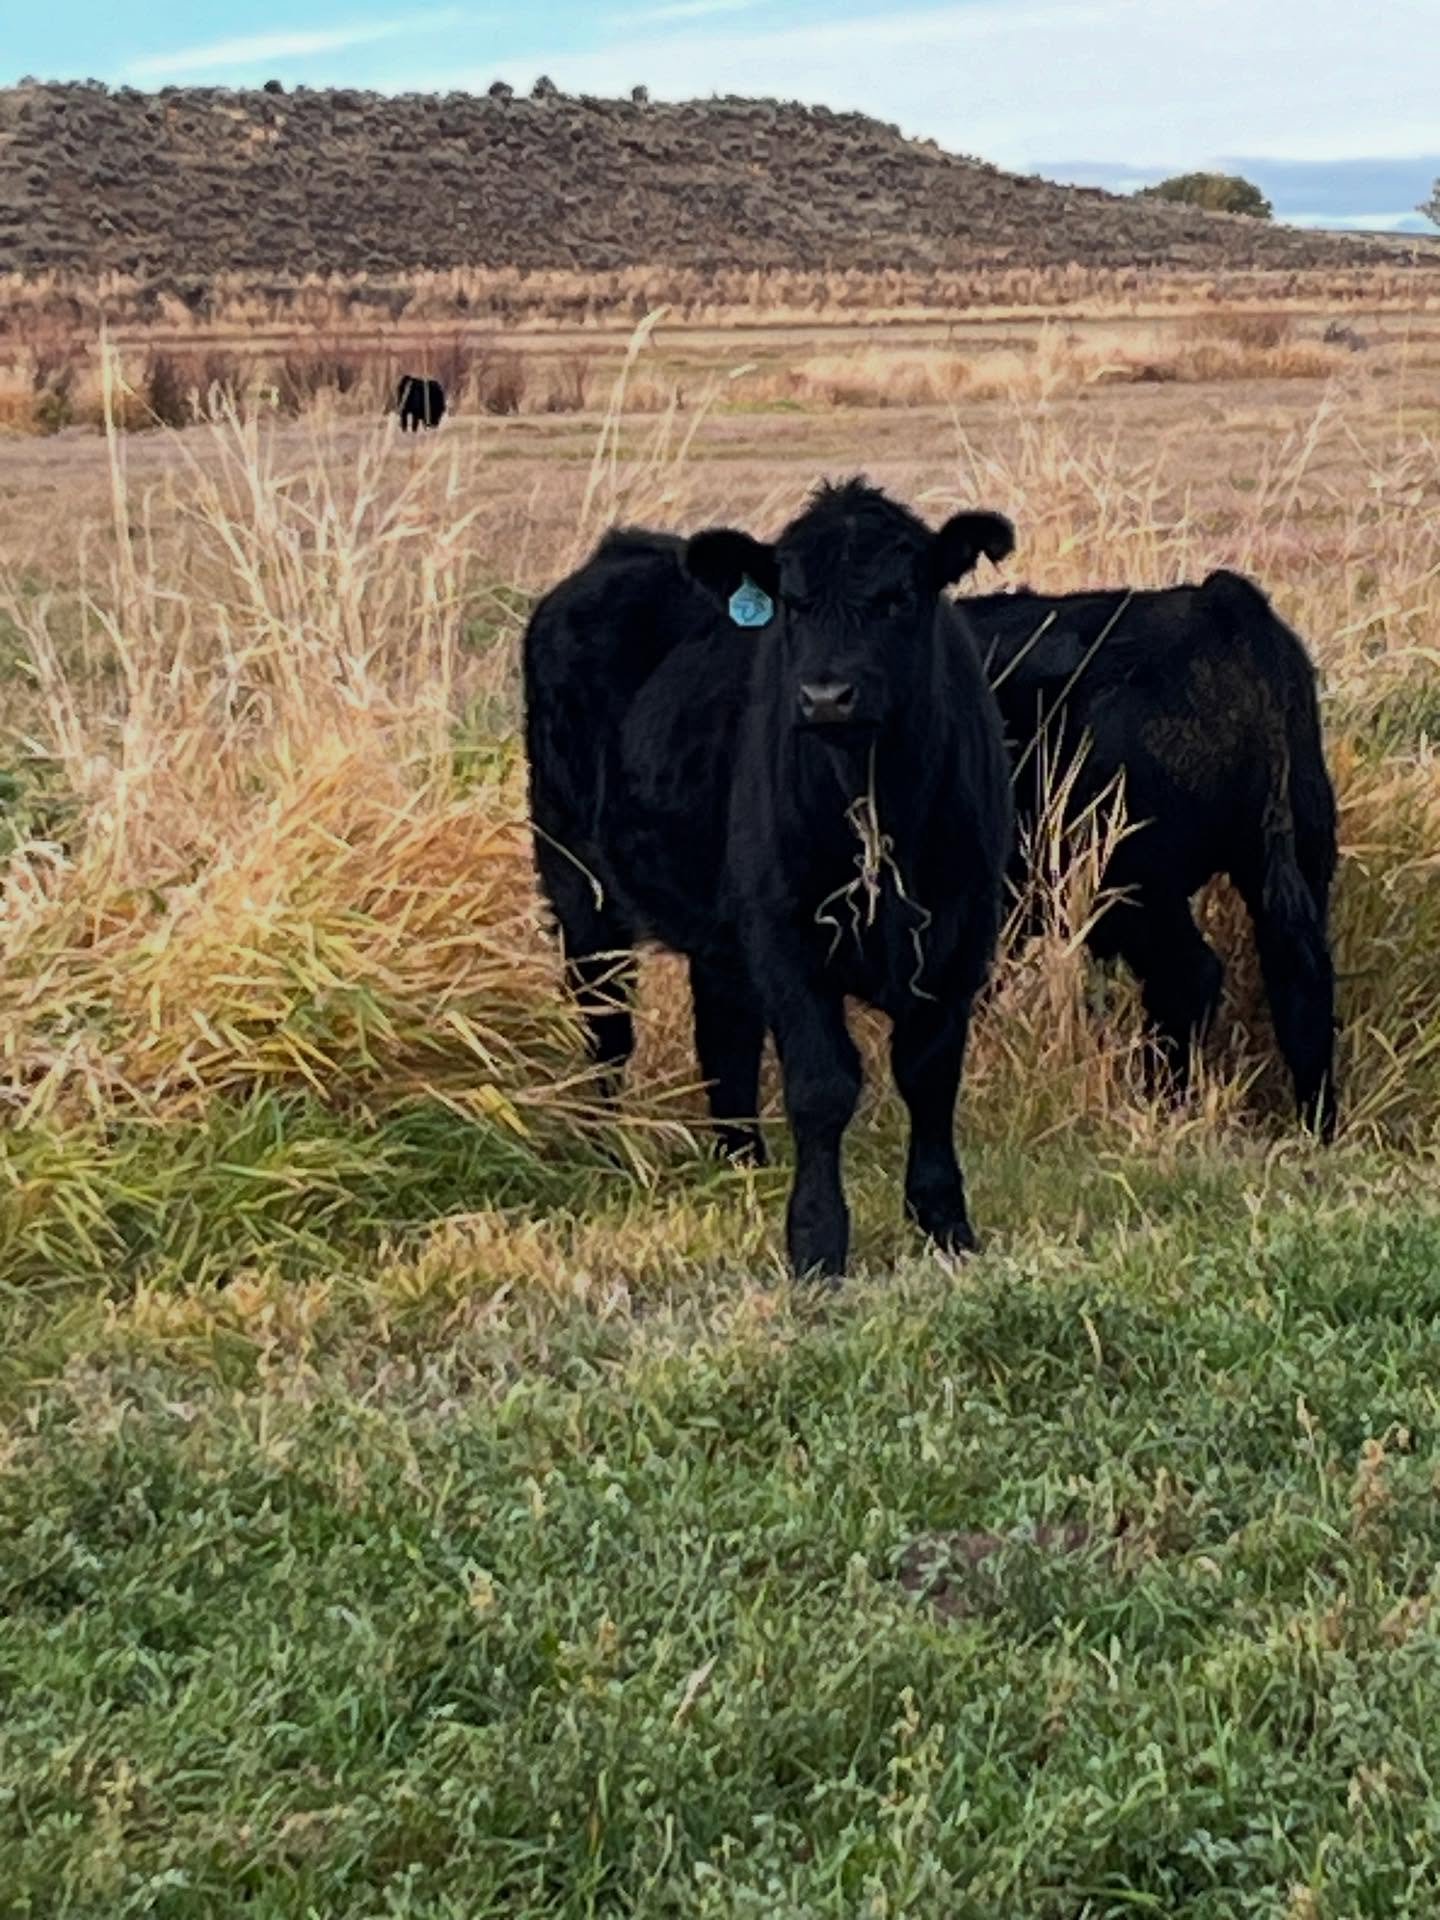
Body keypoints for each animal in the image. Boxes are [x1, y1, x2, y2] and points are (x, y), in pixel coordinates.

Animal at [523, 480, 1015, 1279]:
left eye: (900, 596)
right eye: (792, 602)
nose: (826, 694)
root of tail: (620, 551)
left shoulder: (962, 932)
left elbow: (930, 1075)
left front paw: (945, 1223)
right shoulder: (786, 935)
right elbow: (821, 1086)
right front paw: (816, 1241)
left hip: (718, 927)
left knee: (722, 1033)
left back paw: (740, 1160)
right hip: (575, 880)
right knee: (607, 1025)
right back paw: (604, 1146)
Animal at [966, 570, 1338, 1136]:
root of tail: (1219, 602)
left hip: (1128, 882)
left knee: (1188, 976)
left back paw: (1160, 1107)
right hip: (1298, 856)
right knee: (1301, 977)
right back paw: (1317, 1128)